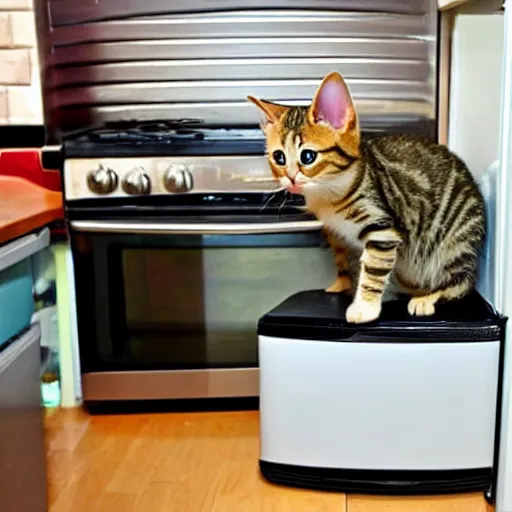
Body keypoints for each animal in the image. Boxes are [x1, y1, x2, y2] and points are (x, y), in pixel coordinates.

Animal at [247, 71, 484, 324]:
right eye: (279, 158)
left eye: (308, 156)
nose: (290, 178)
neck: (329, 195)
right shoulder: (336, 234)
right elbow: (345, 261)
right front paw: (342, 284)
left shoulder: (382, 228)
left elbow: (373, 269)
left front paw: (365, 307)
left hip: (454, 243)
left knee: (463, 283)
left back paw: (428, 297)